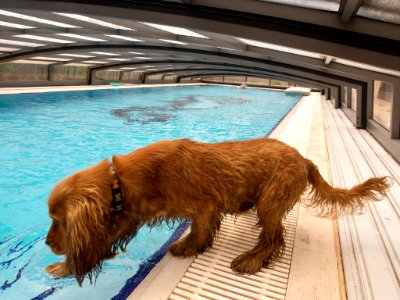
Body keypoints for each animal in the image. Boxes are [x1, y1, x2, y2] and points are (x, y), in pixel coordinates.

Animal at [44, 137, 390, 284]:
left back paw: (252, 259)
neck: (123, 180)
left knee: (274, 237)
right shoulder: (125, 216)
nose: (47, 243)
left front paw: (188, 247)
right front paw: (64, 268)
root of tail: (305, 160)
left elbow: (200, 230)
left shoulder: (204, 206)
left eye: (58, 221)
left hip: (270, 200)